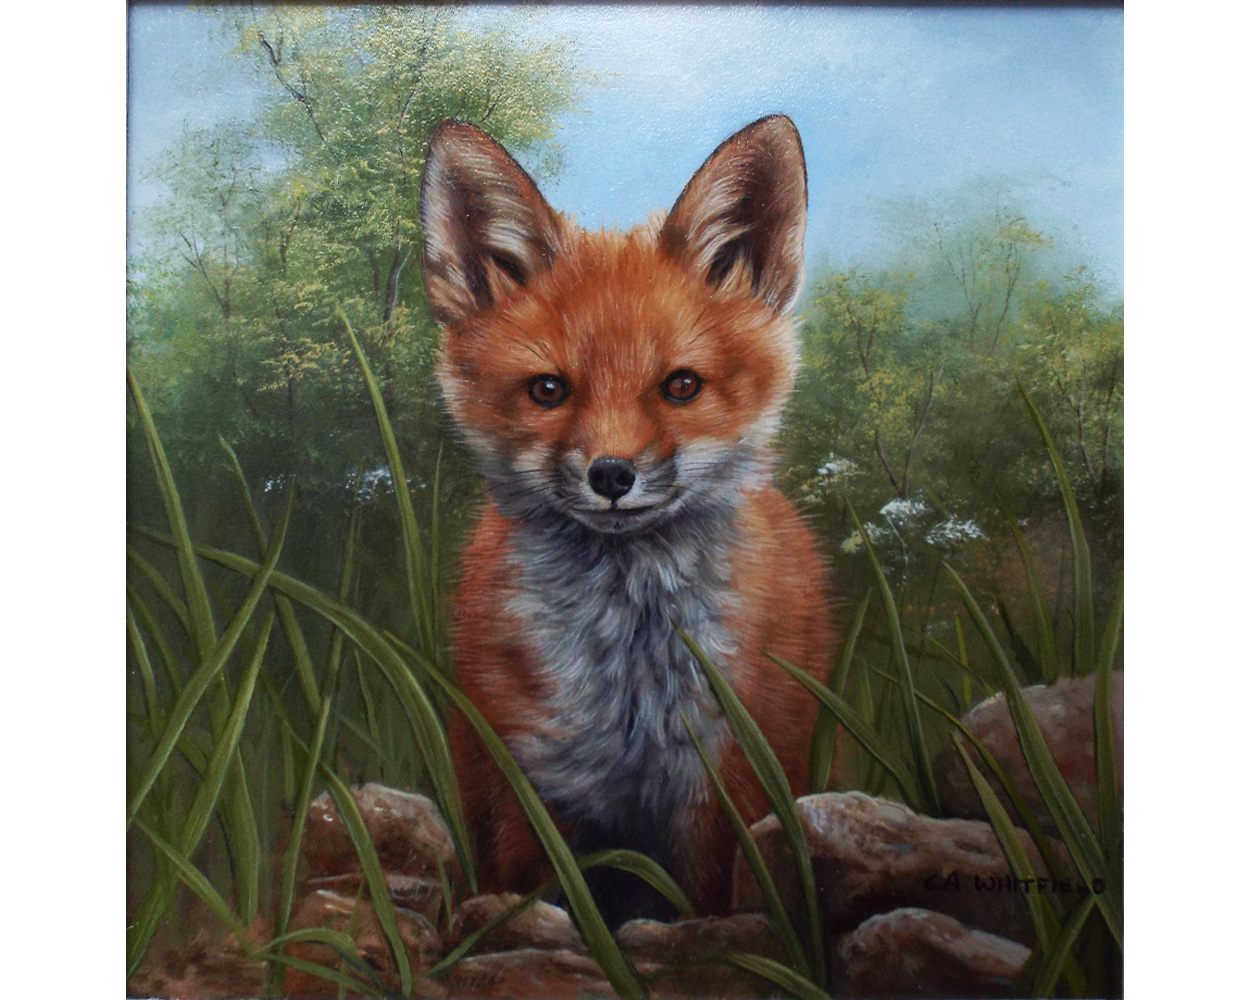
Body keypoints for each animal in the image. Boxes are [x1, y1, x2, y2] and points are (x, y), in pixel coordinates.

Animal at [418, 114, 832, 922]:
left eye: (681, 386)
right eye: (548, 389)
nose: (612, 475)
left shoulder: (726, 781)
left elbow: (713, 904)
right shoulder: (530, 782)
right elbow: (540, 901)